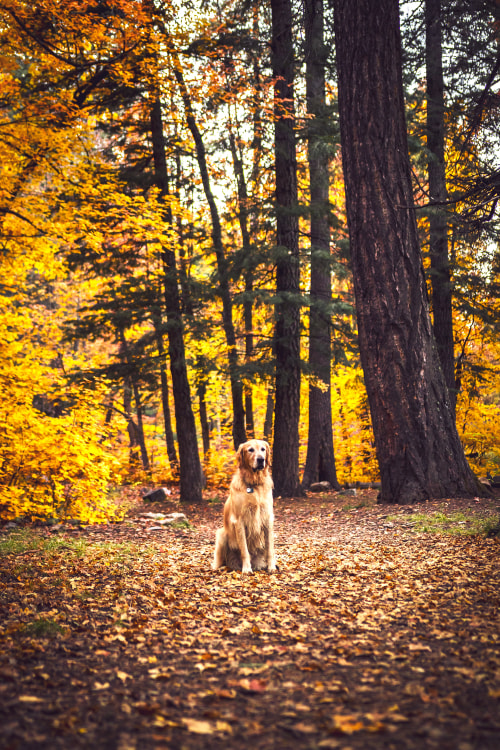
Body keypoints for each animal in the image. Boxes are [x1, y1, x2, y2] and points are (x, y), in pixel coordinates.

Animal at [212, 440, 278, 576]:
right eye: (250, 450)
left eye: (263, 449)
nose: (261, 459)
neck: (254, 484)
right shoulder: (239, 521)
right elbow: (244, 550)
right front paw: (247, 569)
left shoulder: (267, 518)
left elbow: (270, 549)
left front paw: (271, 567)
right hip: (221, 535)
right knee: (220, 562)